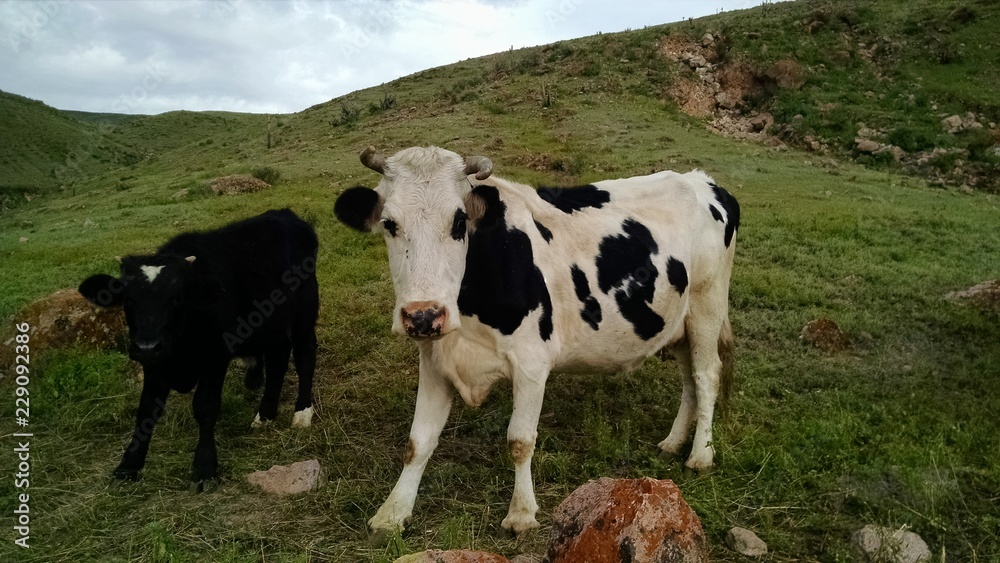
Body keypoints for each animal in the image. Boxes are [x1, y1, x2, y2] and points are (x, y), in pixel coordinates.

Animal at [79, 209, 318, 492]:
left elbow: (205, 406)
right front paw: (129, 464)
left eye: (177, 298)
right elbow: (146, 409)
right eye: (128, 300)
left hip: (305, 310)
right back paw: (265, 415)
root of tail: (284, 214)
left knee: (304, 357)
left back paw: (302, 412)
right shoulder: (155, 362)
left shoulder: (216, 356)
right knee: (278, 358)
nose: (147, 346)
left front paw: (205, 467)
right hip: (273, 324)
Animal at [340, 145, 740, 532]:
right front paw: (392, 512)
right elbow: (417, 442)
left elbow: (520, 439)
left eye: (459, 221)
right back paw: (673, 443)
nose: (423, 314)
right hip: (681, 325)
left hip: (707, 306)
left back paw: (701, 454)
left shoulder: (532, 363)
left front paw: (521, 513)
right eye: (389, 224)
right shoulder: (435, 360)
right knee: (690, 380)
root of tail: (703, 180)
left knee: (707, 375)